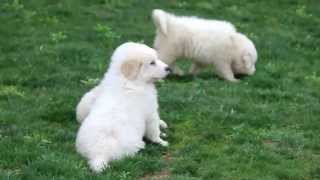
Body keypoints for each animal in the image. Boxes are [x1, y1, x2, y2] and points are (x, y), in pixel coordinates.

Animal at [75, 42, 170, 173]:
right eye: (152, 62)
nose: (169, 68)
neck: (127, 79)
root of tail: (98, 154)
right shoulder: (151, 112)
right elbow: (154, 130)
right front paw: (162, 141)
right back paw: (141, 145)